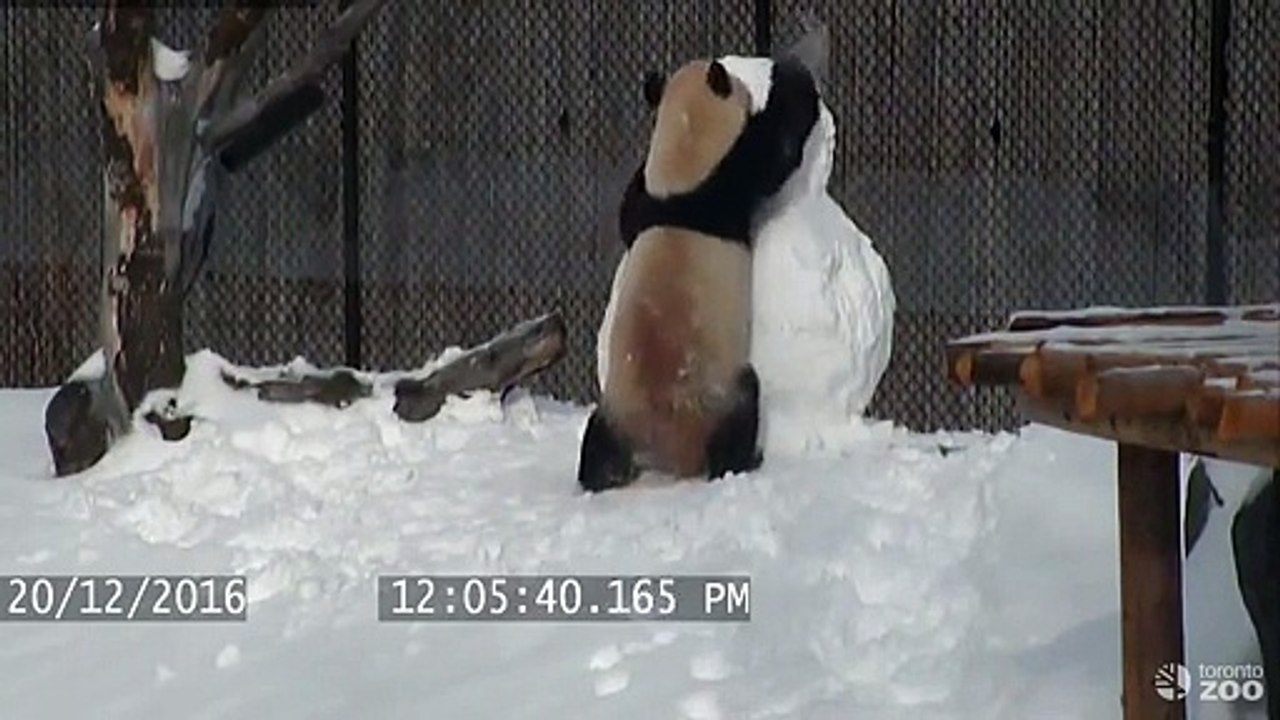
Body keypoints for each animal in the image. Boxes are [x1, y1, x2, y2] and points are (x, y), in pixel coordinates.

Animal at [577, 57, 821, 493]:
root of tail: (668, 456)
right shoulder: (732, 180)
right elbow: (779, 146)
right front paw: (792, 74)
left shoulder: (651, 202)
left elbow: (628, 213)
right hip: (718, 394)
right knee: (743, 408)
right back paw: (744, 460)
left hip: (617, 411)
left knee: (597, 441)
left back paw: (597, 478)